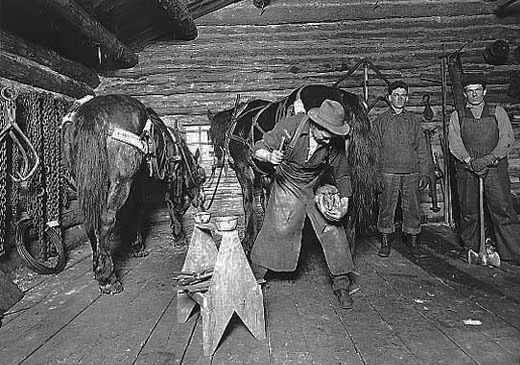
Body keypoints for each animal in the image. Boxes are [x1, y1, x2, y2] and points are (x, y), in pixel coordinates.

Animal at [62, 94, 205, 292]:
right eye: (199, 176)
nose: (201, 200)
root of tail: (92, 112)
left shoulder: (136, 182)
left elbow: (134, 209)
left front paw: (137, 245)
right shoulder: (169, 176)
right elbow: (169, 203)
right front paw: (178, 236)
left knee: (91, 223)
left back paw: (99, 267)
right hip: (122, 182)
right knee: (106, 220)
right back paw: (108, 278)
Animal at [207, 84, 378, 256]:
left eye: (210, 137)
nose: (218, 161)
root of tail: (342, 96)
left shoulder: (243, 169)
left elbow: (249, 203)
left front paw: (248, 242)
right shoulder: (267, 176)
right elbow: (266, 202)